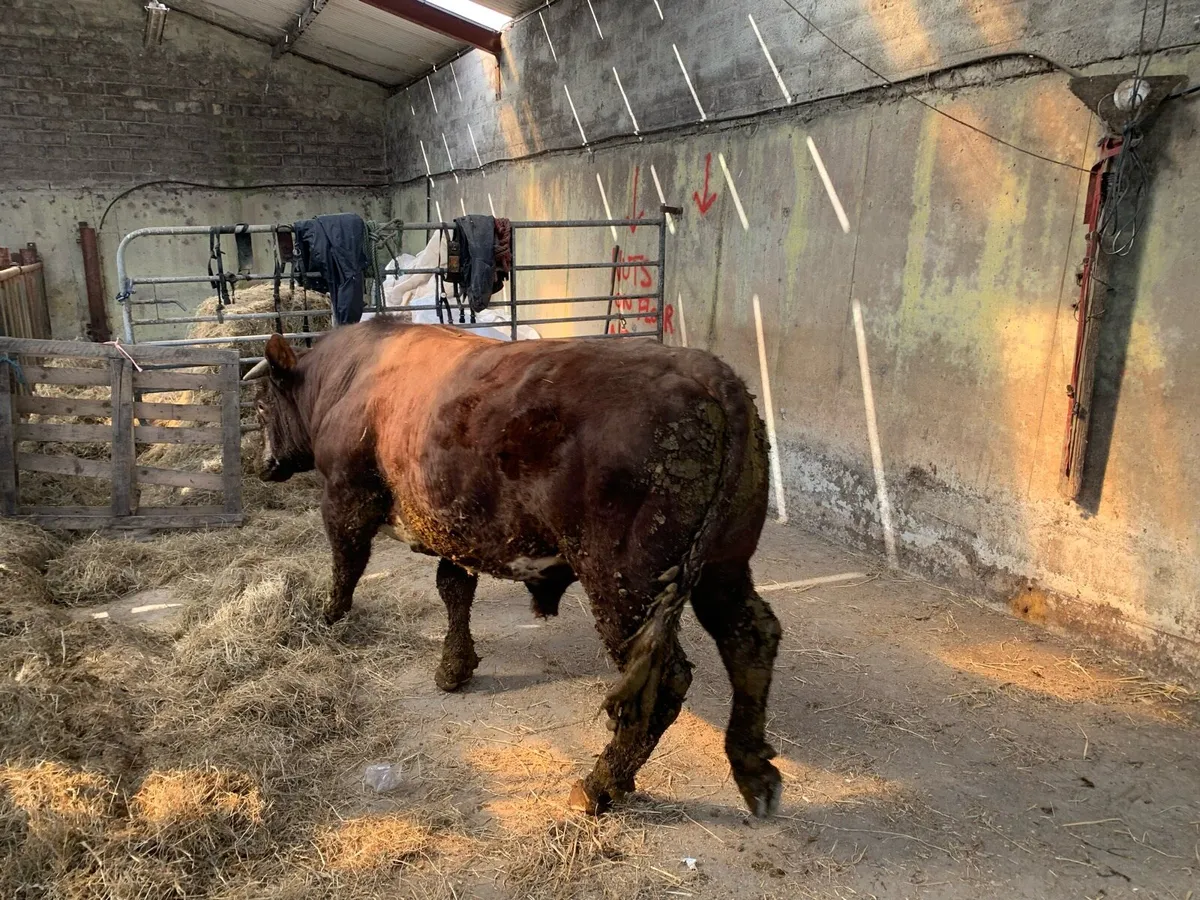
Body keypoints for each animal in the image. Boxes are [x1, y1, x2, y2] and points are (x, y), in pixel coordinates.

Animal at [245, 321, 783, 818]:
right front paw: (454, 667)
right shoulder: (454, 526)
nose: (261, 467)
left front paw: (328, 617)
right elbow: (453, 589)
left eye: (261, 407)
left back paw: (599, 785)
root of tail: (708, 372)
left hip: (625, 585)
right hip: (723, 566)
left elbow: (347, 564)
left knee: (665, 681)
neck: (349, 377)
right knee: (749, 638)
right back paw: (753, 770)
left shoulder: (344, 498)